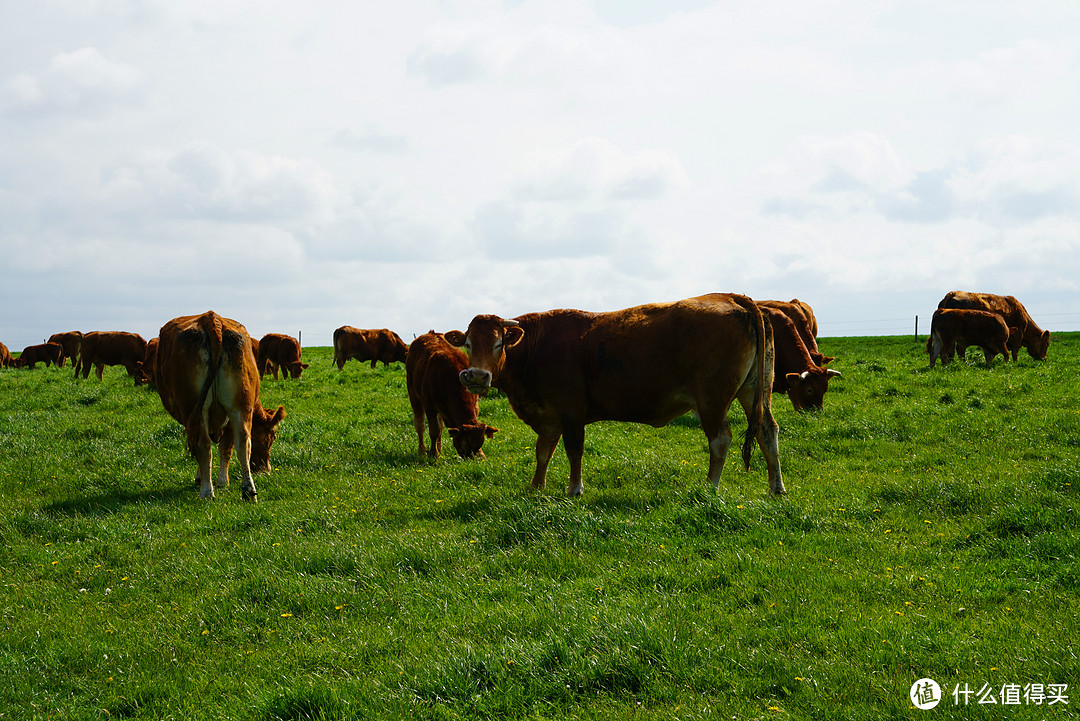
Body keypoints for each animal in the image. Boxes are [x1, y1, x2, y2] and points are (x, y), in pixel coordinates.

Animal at [155, 310, 287, 500]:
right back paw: (248, 490)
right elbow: (228, 447)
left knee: (203, 445)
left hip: (196, 408)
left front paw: (206, 479)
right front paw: (222, 480)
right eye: (273, 437)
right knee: (243, 443)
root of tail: (211, 318)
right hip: (239, 405)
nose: (265, 470)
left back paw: (207, 491)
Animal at [406, 330, 498, 459]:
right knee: (420, 424)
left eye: (480, 443)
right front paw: (433, 454)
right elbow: (434, 430)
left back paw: (439, 447)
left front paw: (481, 454)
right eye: (465, 444)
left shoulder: (475, 405)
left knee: (440, 425)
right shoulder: (430, 406)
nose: (471, 459)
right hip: (413, 393)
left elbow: (439, 428)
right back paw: (422, 450)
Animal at [447, 293, 786, 496]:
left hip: (712, 399)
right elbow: (543, 451)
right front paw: (536, 487)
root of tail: (730, 297)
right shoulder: (550, 416)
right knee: (767, 431)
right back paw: (776, 487)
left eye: (497, 344)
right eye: (468, 344)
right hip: (754, 390)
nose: (476, 376)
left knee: (720, 439)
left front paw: (574, 489)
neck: (537, 347)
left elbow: (573, 451)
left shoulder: (571, 413)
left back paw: (709, 487)